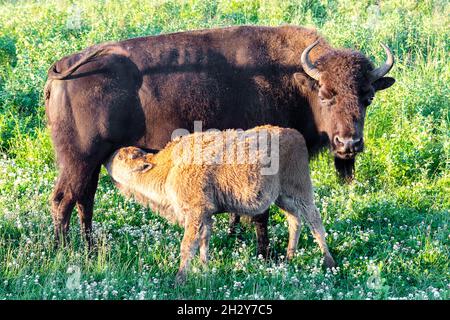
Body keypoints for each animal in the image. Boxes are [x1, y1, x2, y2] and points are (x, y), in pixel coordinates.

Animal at [43, 25, 394, 252]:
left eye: (368, 97)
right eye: (326, 94)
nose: (348, 144)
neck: (295, 81)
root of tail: (61, 67)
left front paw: (235, 235)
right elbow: (260, 211)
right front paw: (263, 253)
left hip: (91, 161)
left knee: (84, 199)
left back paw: (89, 249)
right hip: (79, 159)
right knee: (64, 199)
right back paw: (64, 253)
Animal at [105, 125, 336, 282]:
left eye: (123, 157)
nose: (108, 156)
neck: (168, 167)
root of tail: (296, 135)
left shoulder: (196, 212)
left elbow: (188, 245)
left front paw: (179, 279)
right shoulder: (206, 215)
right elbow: (204, 242)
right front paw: (205, 269)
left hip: (301, 191)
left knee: (315, 222)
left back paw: (329, 262)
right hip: (282, 198)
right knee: (295, 221)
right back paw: (289, 258)